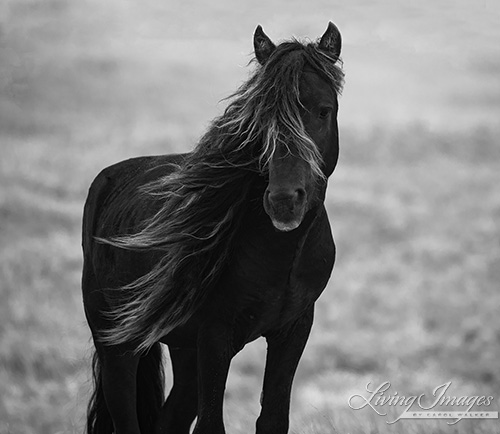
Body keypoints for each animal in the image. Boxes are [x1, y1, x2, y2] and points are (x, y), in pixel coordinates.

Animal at [82, 22, 346, 434]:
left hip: (184, 352)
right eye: (258, 118)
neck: (279, 257)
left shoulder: (292, 330)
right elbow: (211, 424)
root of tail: (107, 178)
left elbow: (272, 418)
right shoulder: (215, 336)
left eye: (324, 110)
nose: (284, 200)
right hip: (117, 347)